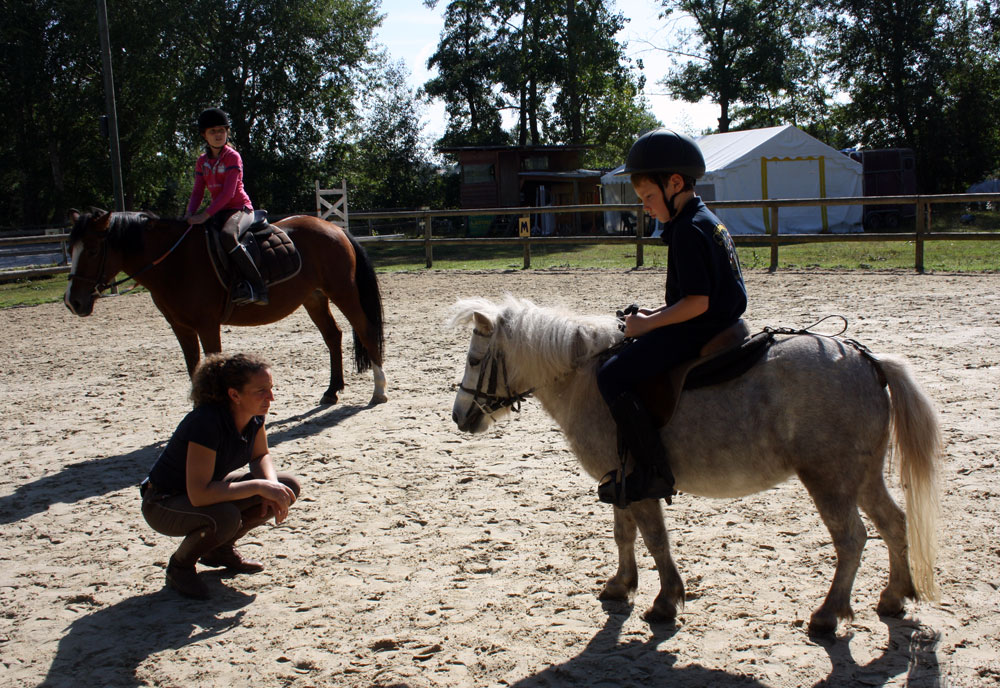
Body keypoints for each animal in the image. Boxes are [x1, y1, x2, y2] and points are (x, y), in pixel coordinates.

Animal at [65, 210, 386, 404]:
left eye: (92, 250)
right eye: (70, 249)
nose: (72, 301)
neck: (175, 262)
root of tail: (334, 228)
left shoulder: (207, 325)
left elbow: (211, 362)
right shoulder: (181, 327)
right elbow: (193, 366)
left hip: (343, 292)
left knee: (366, 330)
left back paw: (379, 390)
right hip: (314, 298)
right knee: (333, 336)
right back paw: (332, 391)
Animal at [450, 292, 940, 636]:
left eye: (475, 359)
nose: (459, 417)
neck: (587, 378)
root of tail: (867, 360)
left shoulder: (639, 482)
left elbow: (654, 539)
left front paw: (666, 602)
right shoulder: (620, 480)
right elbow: (624, 534)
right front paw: (621, 585)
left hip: (830, 481)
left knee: (852, 540)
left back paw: (828, 615)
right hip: (863, 477)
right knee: (893, 523)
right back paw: (894, 597)